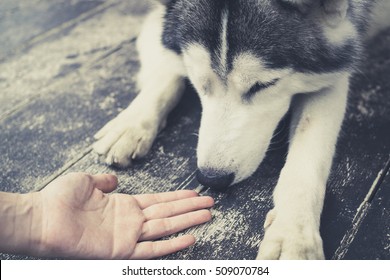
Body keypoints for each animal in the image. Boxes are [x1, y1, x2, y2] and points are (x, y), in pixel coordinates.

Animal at [93, 0, 386, 260]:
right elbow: (165, 73)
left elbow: (307, 158)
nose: (212, 178)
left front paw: (293, 234)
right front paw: (131, 123)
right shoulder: (161, 25)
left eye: (263, 85)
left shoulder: (332, 71)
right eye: (200, 82)